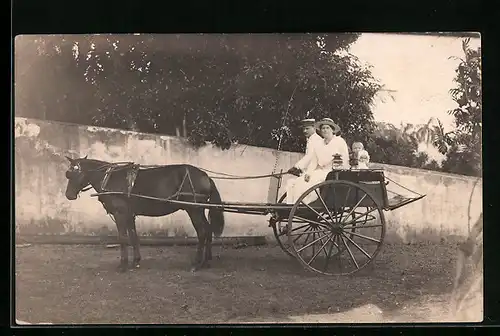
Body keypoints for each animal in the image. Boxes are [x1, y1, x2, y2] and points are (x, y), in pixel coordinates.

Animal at [63, 156, 226, 272]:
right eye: (67, 174)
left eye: (73, 173)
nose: (68, 195)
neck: (109, 179)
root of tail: (205, 177)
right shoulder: (129, 215)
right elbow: (133, 236)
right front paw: (136, 261)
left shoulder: (120, 214)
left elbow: (122, 238)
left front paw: (123, 265)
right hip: (199, 210)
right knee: (208, 230)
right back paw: (206, 261)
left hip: (194, 210)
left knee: (202, 232)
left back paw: (197, 263)